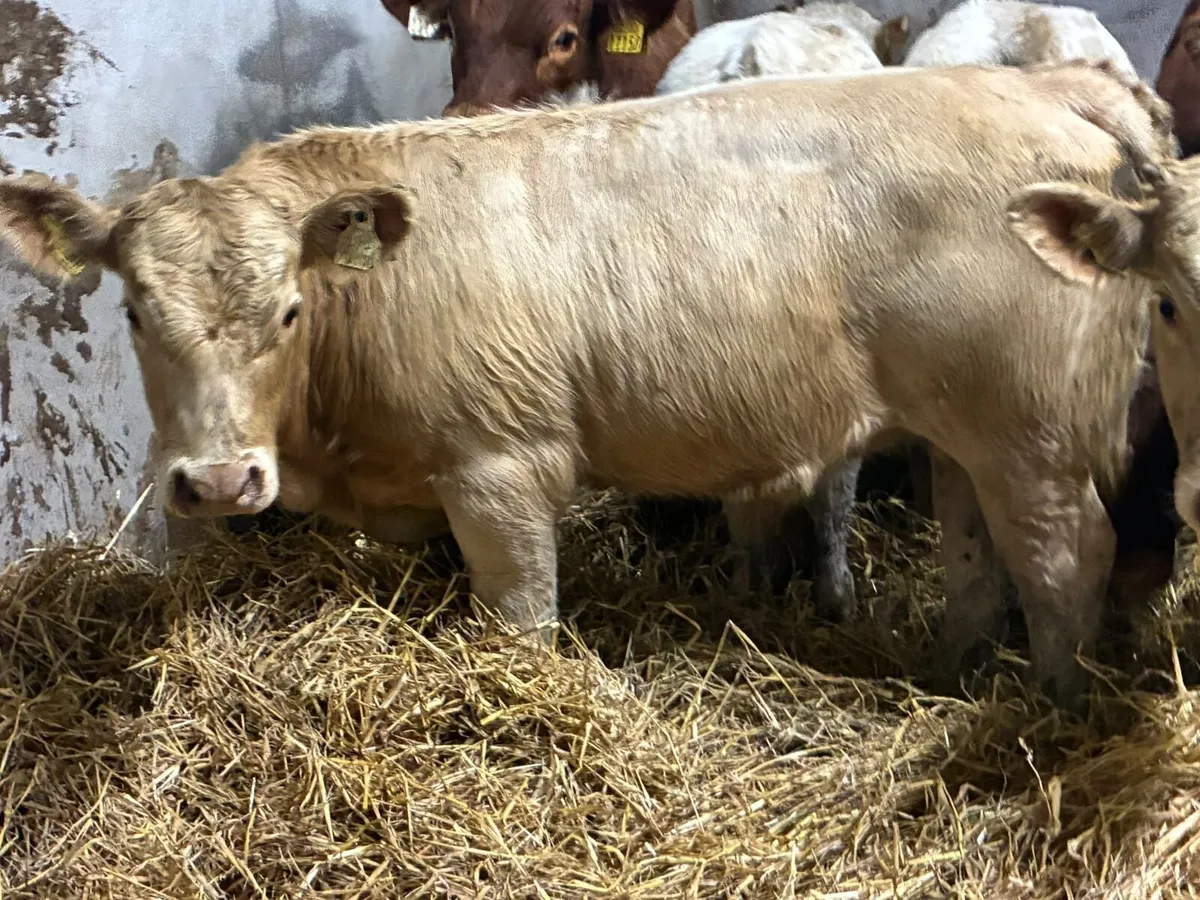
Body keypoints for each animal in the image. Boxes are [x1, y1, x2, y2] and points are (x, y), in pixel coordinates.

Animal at [0, 61, 1176, 713]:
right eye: (135, 315)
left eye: (289, 310)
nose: (217, 483)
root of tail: (1039, 84)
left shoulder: (500, 469)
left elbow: (521, 625)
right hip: (965, 425)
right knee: (977, 560)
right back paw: (954, 673)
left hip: (1035, 429)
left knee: (1066, 561)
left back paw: (1057, 712)